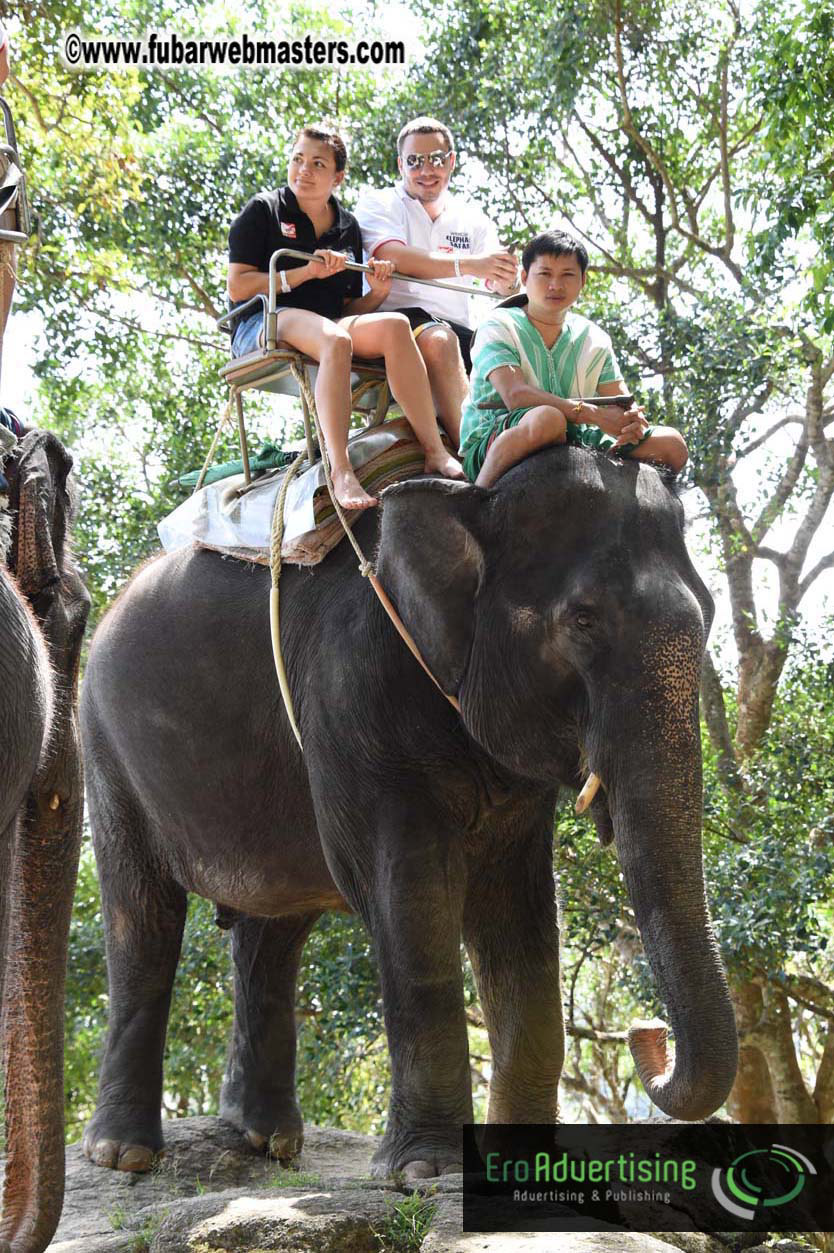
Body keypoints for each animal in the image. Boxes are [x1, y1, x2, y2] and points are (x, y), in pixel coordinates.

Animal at [80, 445, 738, 1181]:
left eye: (710, 612)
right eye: (584, 620)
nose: (647, 1033)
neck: (470, 496)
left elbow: (519, 907)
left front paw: (521, 1168)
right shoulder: (354, 695)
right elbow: (408, 895)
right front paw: (427, 1171)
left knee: (271, 932)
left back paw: (267, 1140)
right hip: (107, 748)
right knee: (143, 919)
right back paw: (124, 1154)